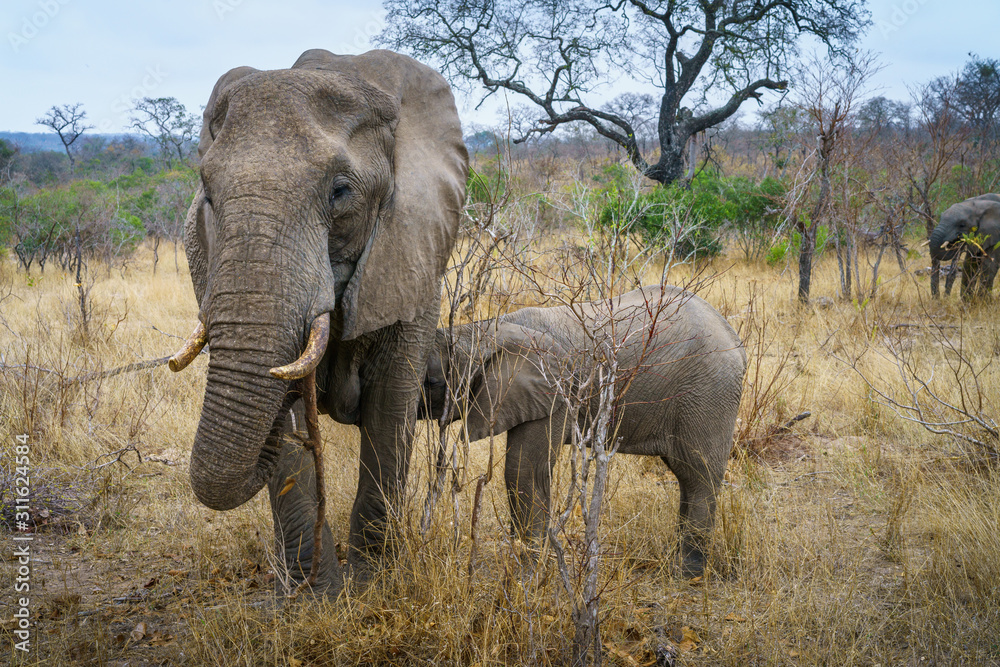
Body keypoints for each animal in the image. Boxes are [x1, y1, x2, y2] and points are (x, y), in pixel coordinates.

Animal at [168, 49, 468, 595]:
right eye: (209, 196)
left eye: (340, 192)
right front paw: (318, 597)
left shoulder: (412, 254)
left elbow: (390, 408)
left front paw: (373, 587)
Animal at [419, 285, 746, 577]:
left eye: (432, 383)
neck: (484, 330)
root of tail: (735, 340)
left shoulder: (556, 390)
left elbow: (524, 470)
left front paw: (528, 571)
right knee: (687, 477)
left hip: (707, 394)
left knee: (699, 474)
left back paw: (688, 573)